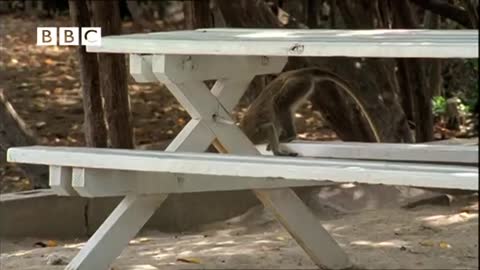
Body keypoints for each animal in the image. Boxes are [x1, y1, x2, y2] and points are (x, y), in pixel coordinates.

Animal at [239, 66, 378, 156]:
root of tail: (297, 73)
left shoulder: (256, 134)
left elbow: (269, 124)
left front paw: (277, 149)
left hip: (299, 83)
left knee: (279, 103)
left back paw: (287, 139)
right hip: (302, 84)